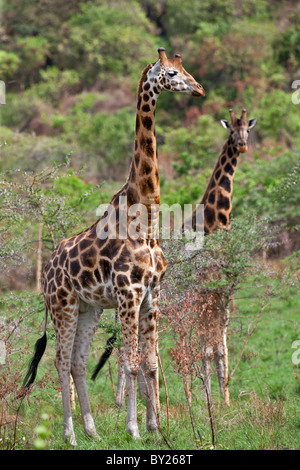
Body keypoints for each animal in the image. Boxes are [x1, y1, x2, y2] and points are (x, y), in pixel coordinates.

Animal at [23, 48, 204, 448]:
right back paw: (70, 433)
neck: (147, 218)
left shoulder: (153, 295)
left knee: (77, 362)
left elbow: (149, 362)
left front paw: (156, 427)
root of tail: (46, 271)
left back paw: (91, 430)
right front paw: (134, 429)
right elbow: (130, 363)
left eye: (186, 68)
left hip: (89, 309)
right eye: (171, 73)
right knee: (60, 361)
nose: (199, 89)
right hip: (63, 305)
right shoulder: (128, 293)